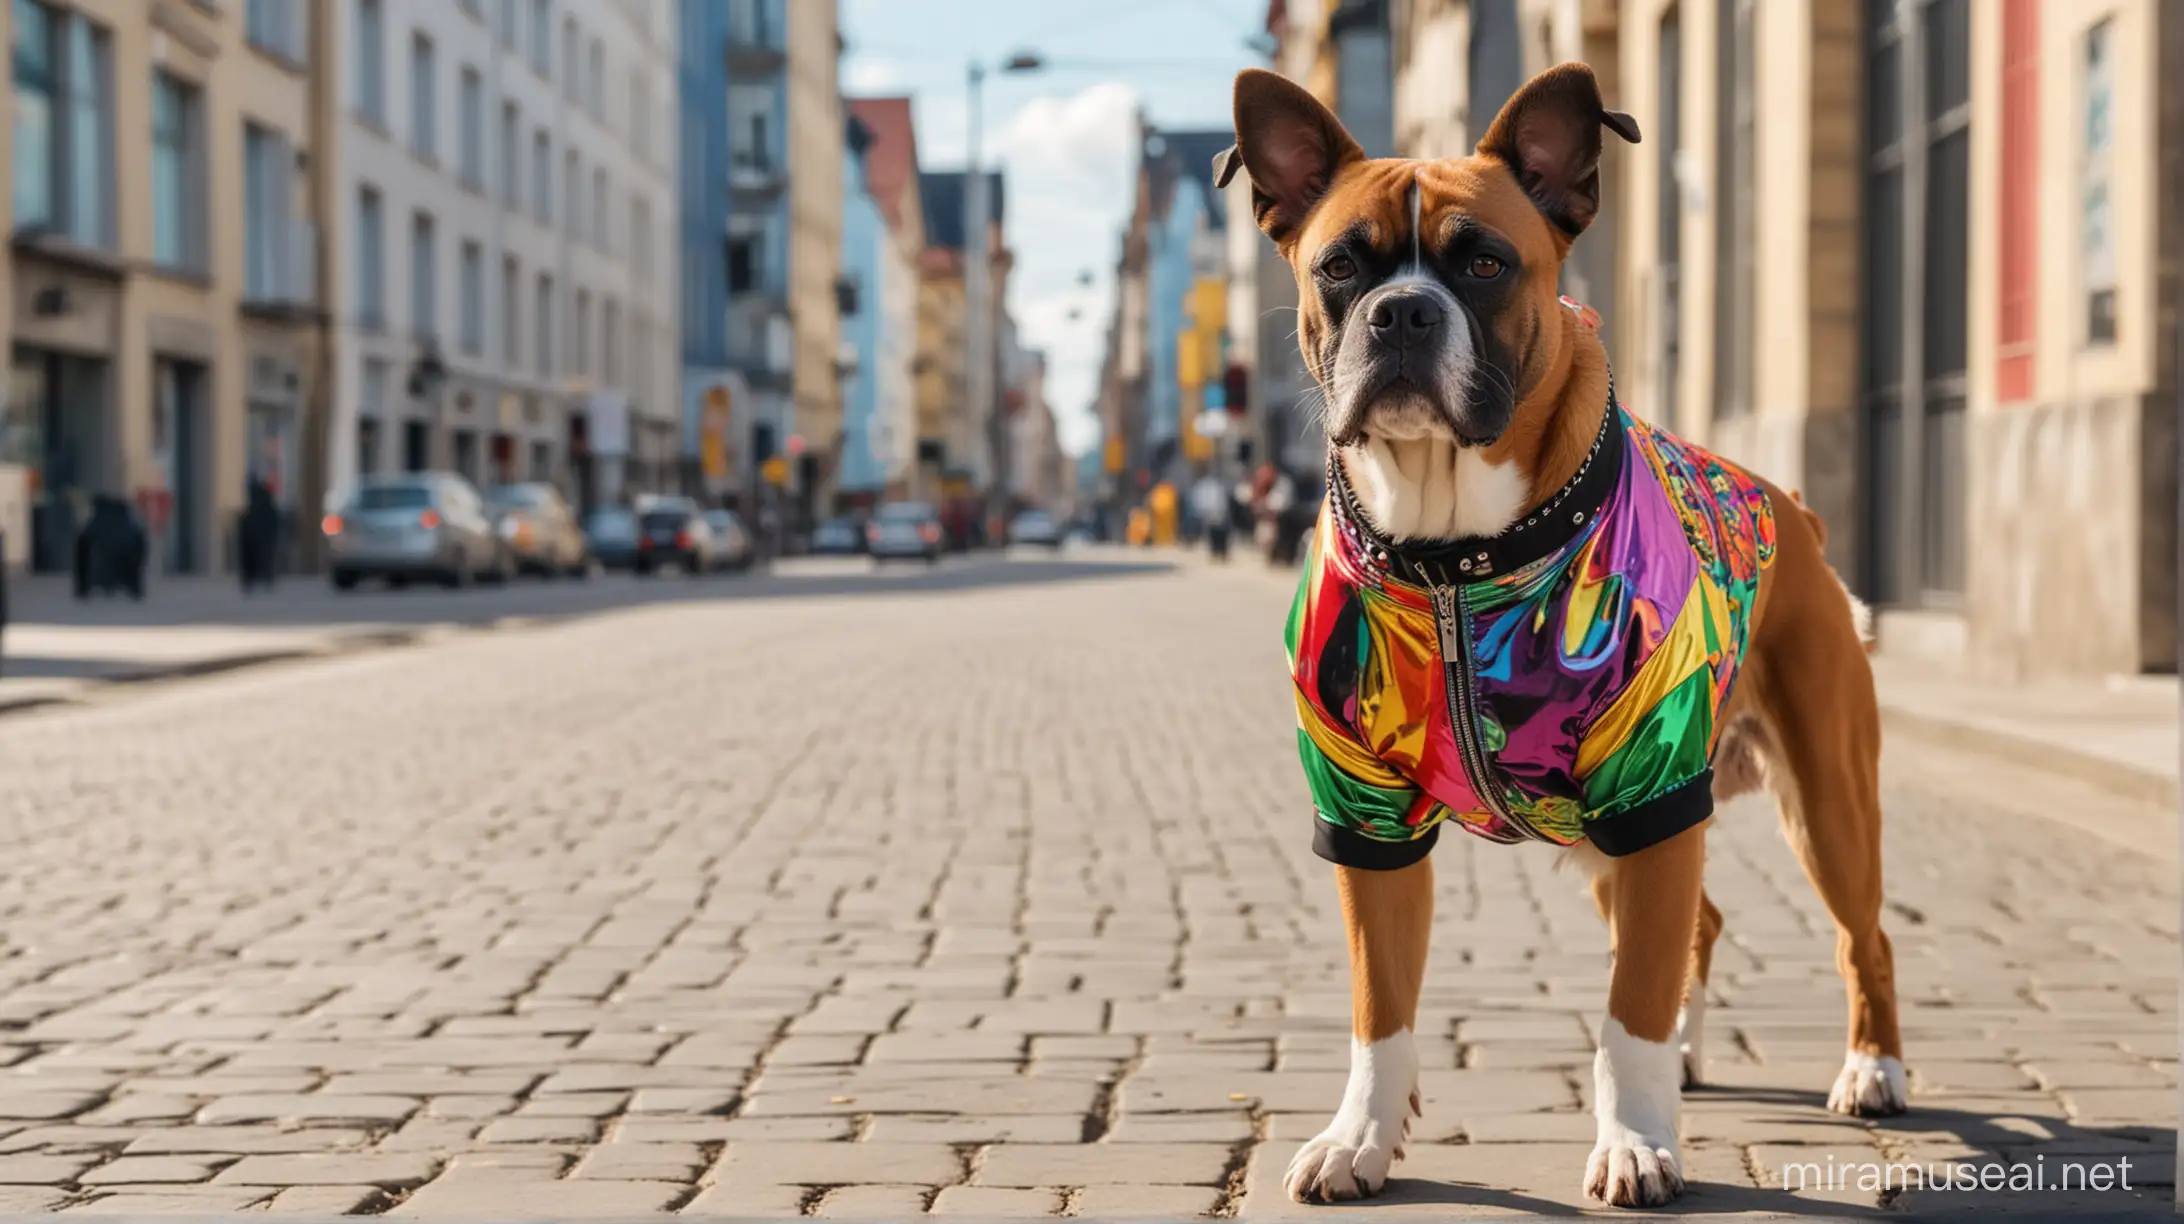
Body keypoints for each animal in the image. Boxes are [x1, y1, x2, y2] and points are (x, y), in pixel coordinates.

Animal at [1223, 64, 1904, 1206]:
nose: (1402, 313)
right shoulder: (1367, 817)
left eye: (1485, 263)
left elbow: (1625, 1017)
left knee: (1864, 937)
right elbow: (1380, 1013)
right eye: (1340, 267)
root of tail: (1792, 507)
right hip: (1608, 840)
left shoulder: (1650, 788)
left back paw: (1871, 1069)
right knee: (1696, 928)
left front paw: (1634, 1141)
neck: (1452, 555)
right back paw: (1692, 1057)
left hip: (1822, 802)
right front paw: (1362, 1137)